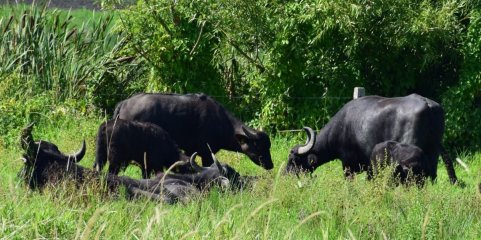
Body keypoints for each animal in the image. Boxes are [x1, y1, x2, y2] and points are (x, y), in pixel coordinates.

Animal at [110, 92, 272, 169]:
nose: (270, 165)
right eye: (259, 146)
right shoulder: (206, 154)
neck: (221, 122)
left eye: (268, 146)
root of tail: (124, 104)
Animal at [284, 94, 458, 184]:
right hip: (433, 154)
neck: (343, 126)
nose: (285, 176)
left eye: (293, 160)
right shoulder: (370, 168)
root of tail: (428, 104)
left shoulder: (348, 165)